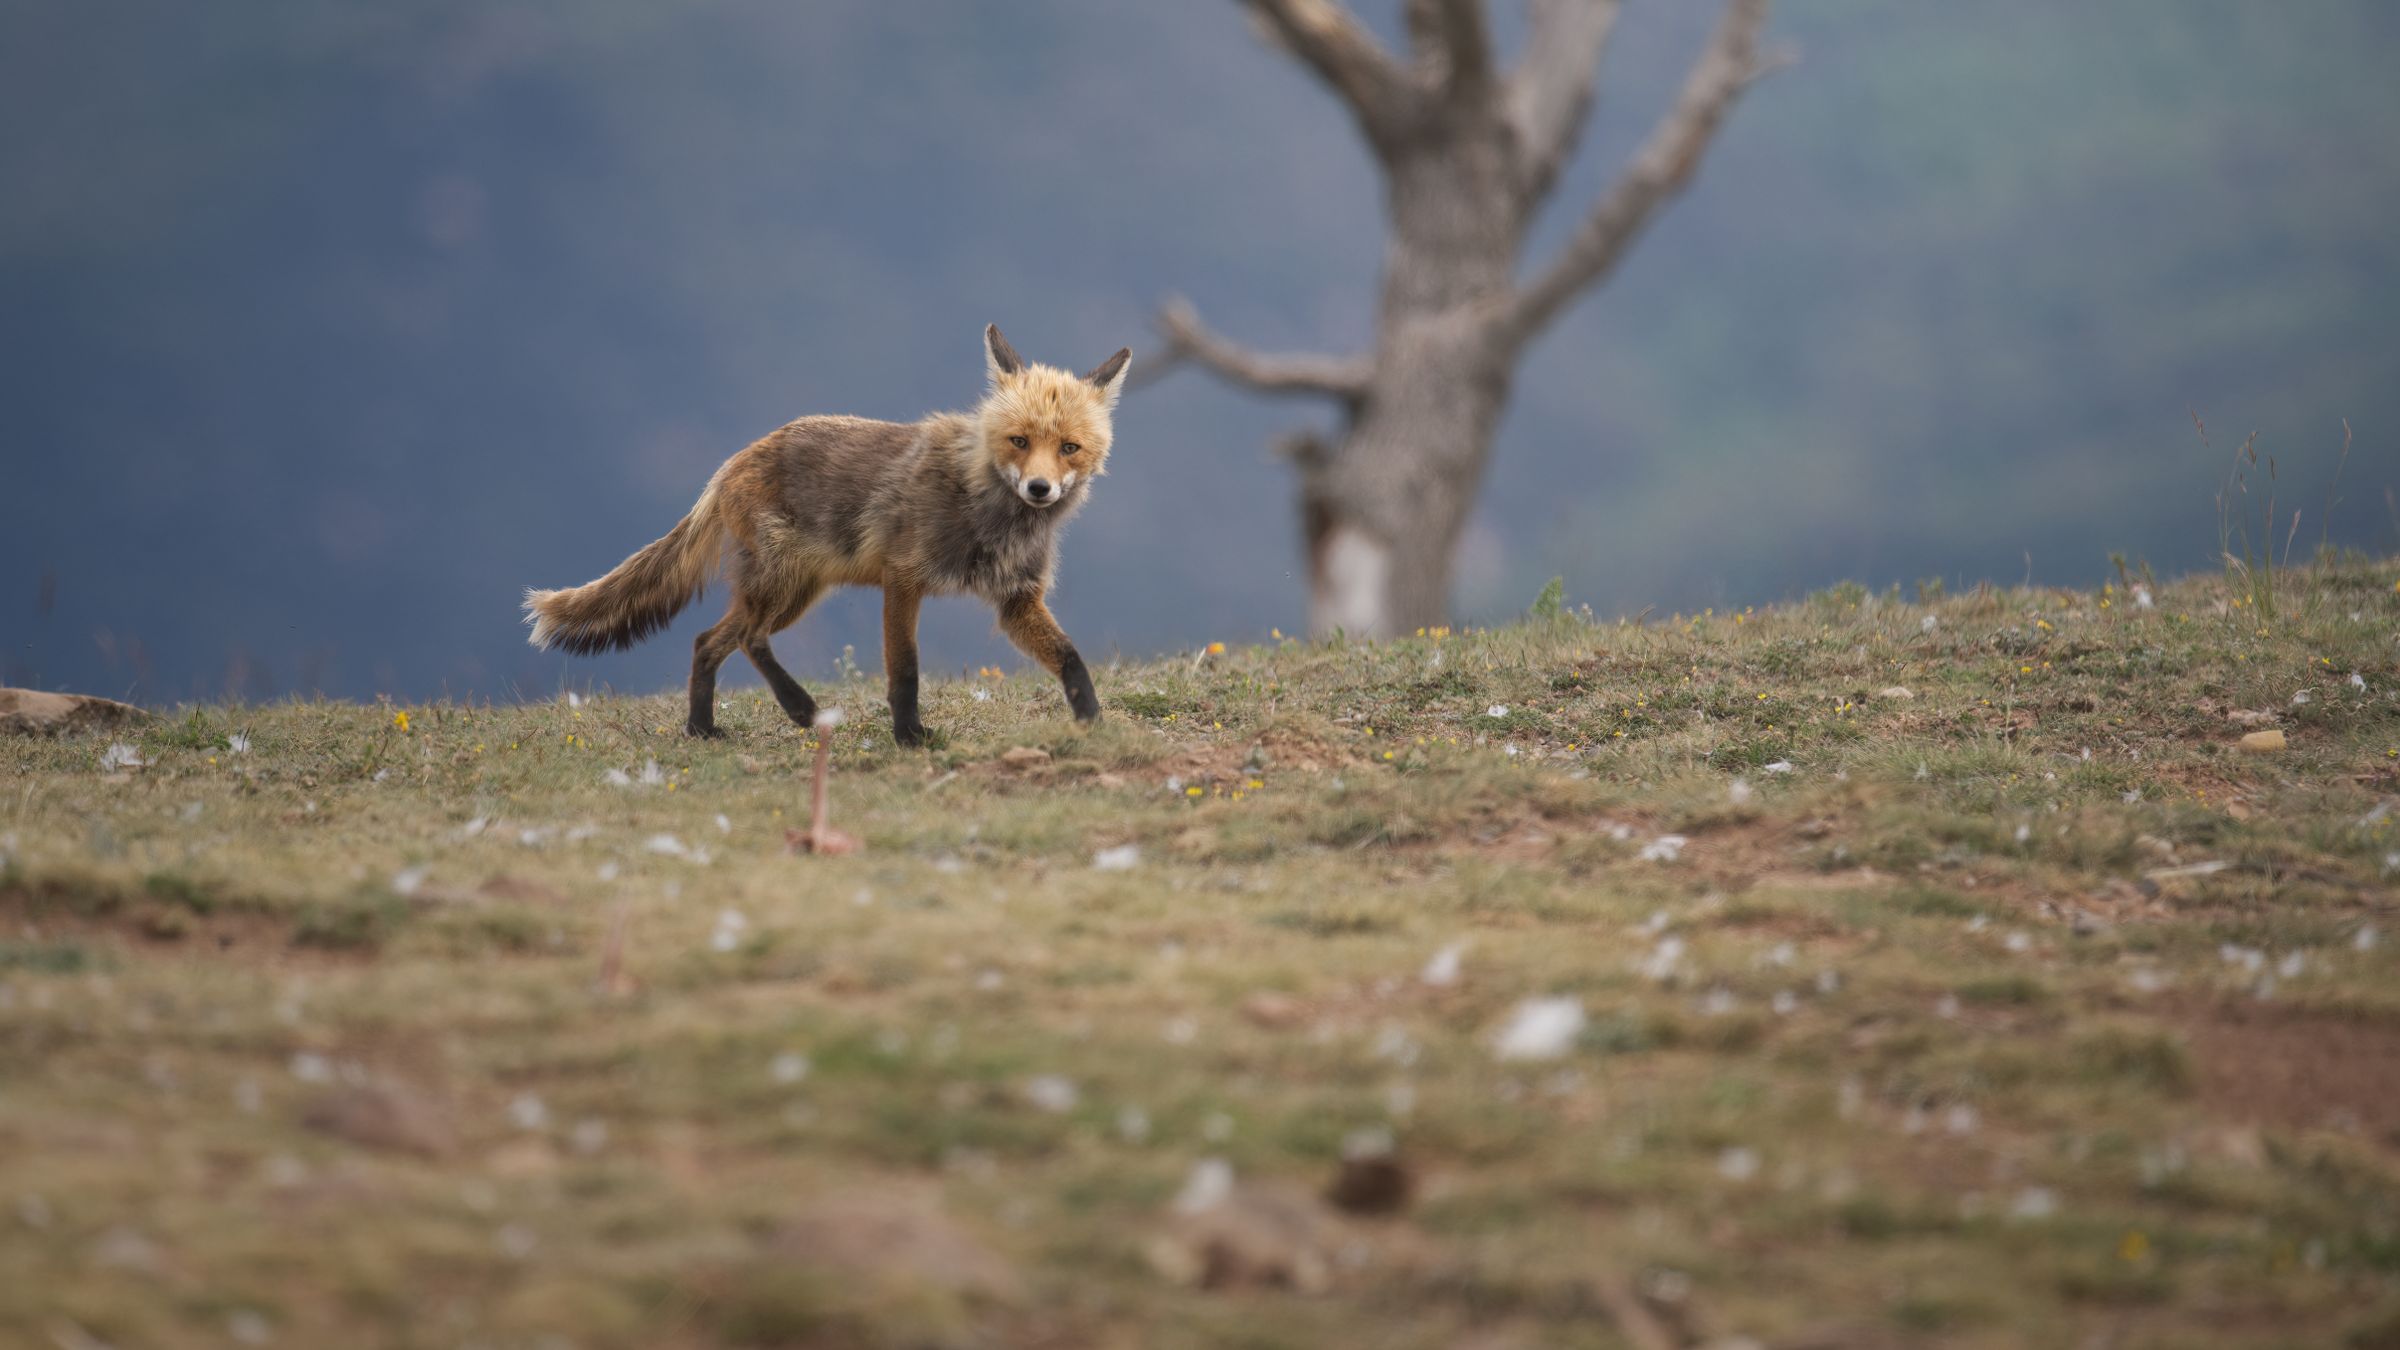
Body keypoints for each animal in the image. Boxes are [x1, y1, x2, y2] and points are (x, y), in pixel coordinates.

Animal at [525, 326, 1123, 744]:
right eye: (1019, 441)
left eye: (1068, 448)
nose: (1040, 488)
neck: (986, 509)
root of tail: (731, 463)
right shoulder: (902, 580)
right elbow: (904, 670)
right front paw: (909, 737)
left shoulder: (1017, 600)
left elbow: (1072, 660)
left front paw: (1093, 722)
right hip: (782, 586)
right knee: (748, 639)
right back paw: (800, 708)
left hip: (794, 593)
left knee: (708, 642)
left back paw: (701, 729)